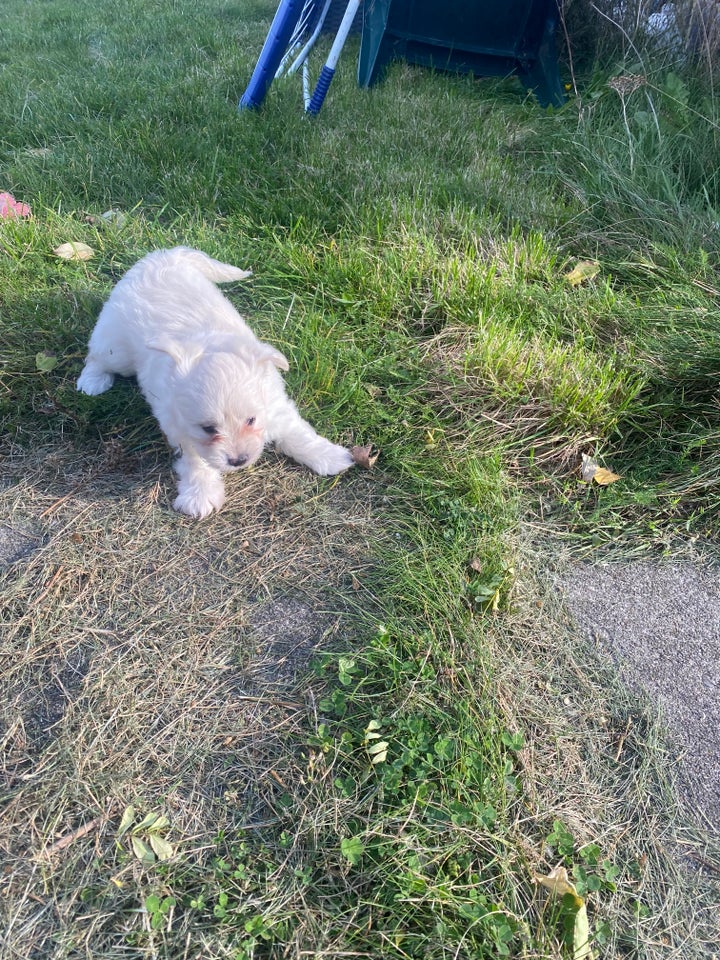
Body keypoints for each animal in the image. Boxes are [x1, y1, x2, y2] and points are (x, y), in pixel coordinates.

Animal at [76, 248, 354, 516]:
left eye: (251, 420)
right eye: (209, 429)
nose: (239, 460)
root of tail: (163, 256)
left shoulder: (275, 406)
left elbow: (298, 433)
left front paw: (329, 455)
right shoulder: (181, 430)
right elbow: (197, 462)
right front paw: (200, 495)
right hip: (117, 349)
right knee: (96, 356)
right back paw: (92, 381)